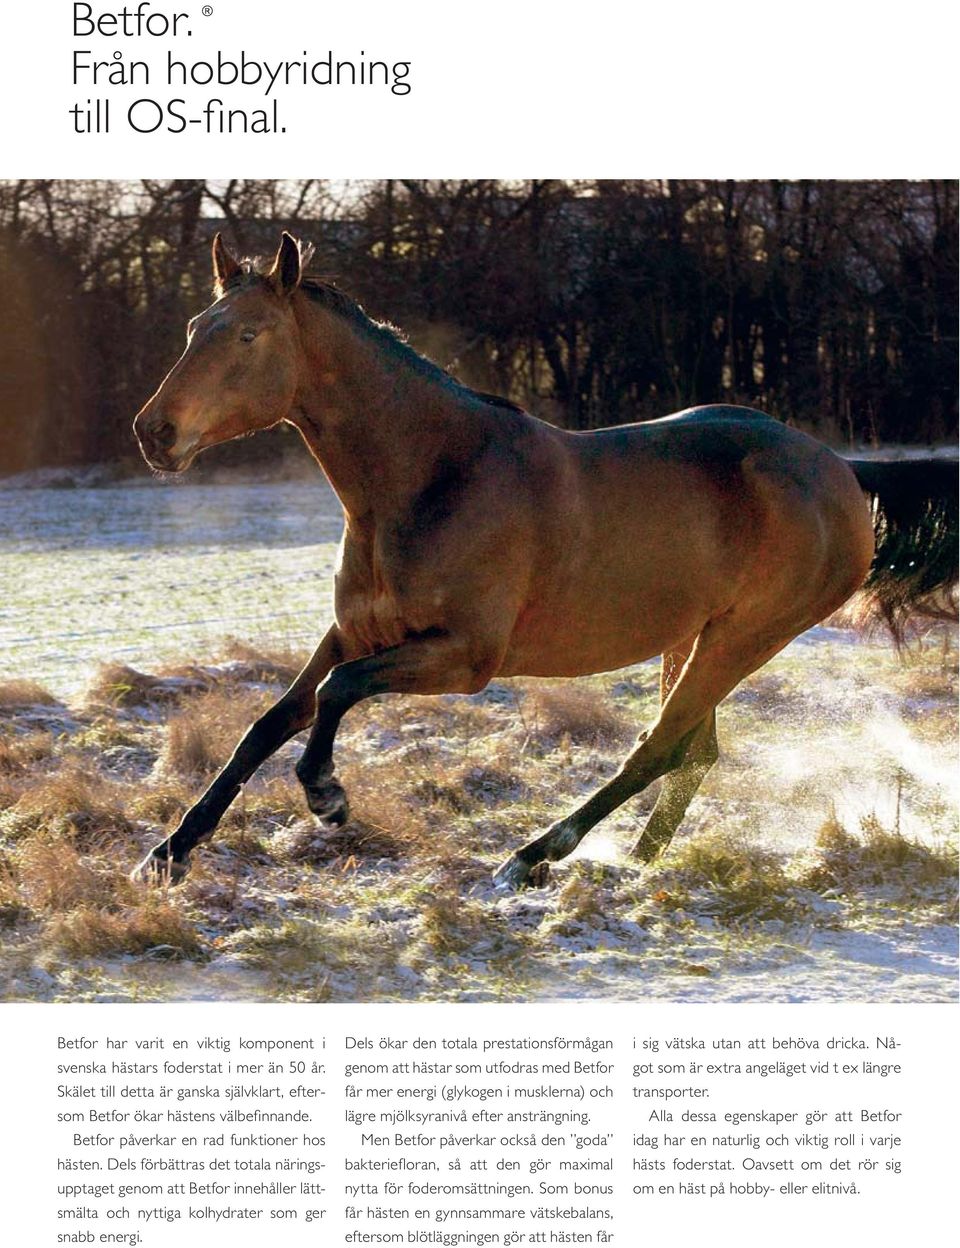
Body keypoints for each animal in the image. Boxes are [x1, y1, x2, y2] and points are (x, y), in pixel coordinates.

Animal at [131, 234, 953, 893]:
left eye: (248, 335)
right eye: (193, 329)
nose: (153, 432)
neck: (432, 476)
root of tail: (840, 469)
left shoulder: (466, 658)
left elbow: (337, 694)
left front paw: (326, 796)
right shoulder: (355, 633)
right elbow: (270, 722)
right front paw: (168, 854)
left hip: (744, 638)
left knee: (658, 748)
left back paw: (531, 858)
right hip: (695, 635)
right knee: (694, 753)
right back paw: (636, 863)